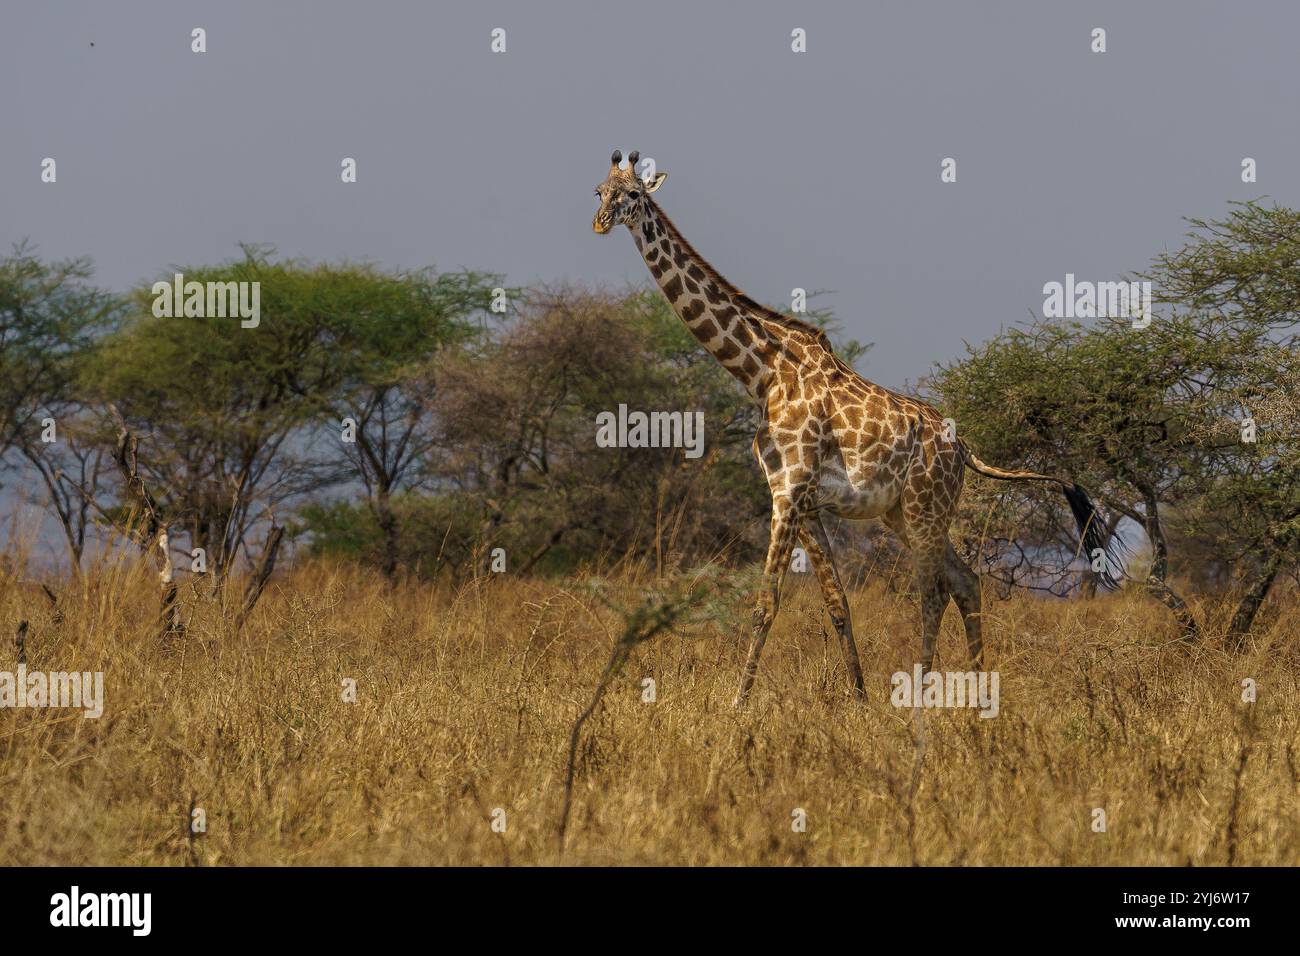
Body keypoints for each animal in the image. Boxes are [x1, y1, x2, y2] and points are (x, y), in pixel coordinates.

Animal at [593, 149, 1122, 706]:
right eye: (599, 191)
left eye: (633, 195)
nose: (601, 221)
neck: (761, 374)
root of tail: (964, 449)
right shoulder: (800, 498)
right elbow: (836, 601)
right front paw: (860, 698)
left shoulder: (789, 492)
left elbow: (765, 604)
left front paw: (738, 704)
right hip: (904, 515)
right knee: (967, 581)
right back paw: (979, 692)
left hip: (925, 508)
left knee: (934, 591)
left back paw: (924, 692)